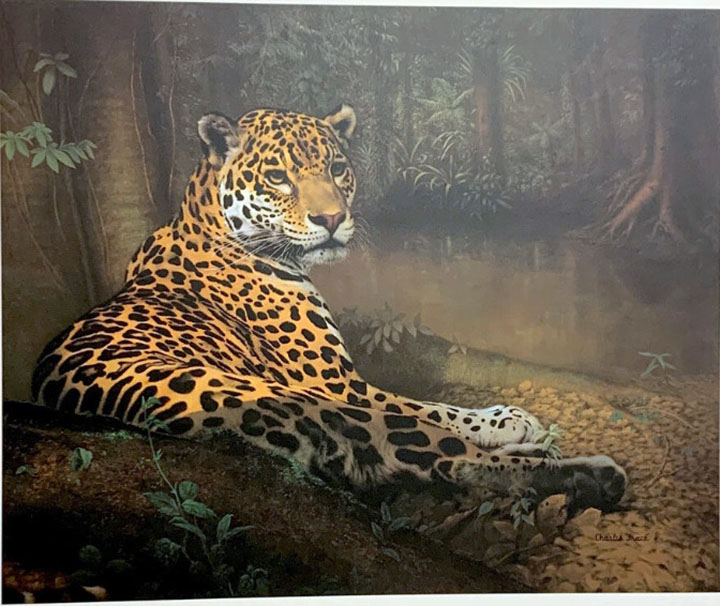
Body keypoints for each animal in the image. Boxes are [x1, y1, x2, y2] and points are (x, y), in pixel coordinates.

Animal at [31, 104, 626, 512]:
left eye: (338, 168)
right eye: (277, 177)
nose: (332, 219)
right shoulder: (339, 383)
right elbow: (429, 406)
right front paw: (507, 419)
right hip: (321, 406)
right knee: (447, 458)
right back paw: (587, 472)